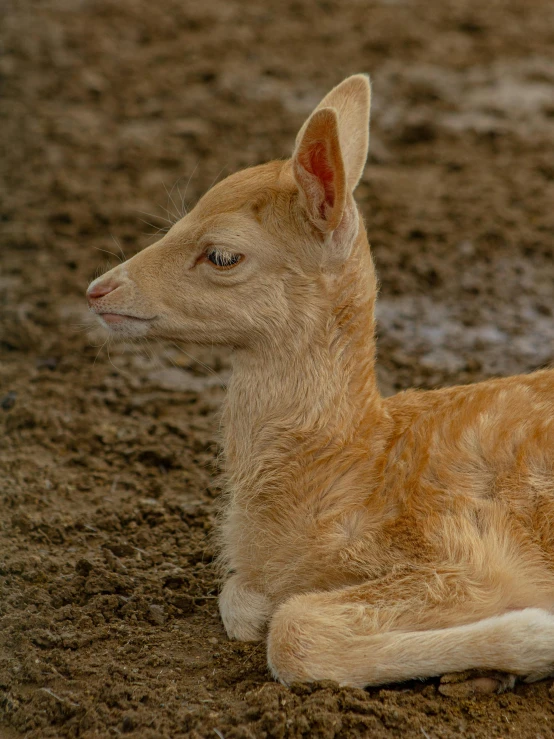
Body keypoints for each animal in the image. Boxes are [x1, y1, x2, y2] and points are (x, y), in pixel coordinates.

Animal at [84, 73, 552, 688]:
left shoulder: (465, 551)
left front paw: (538, 635)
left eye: (223, 255)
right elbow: (244, 601)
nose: (98, 289)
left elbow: (294, 630)